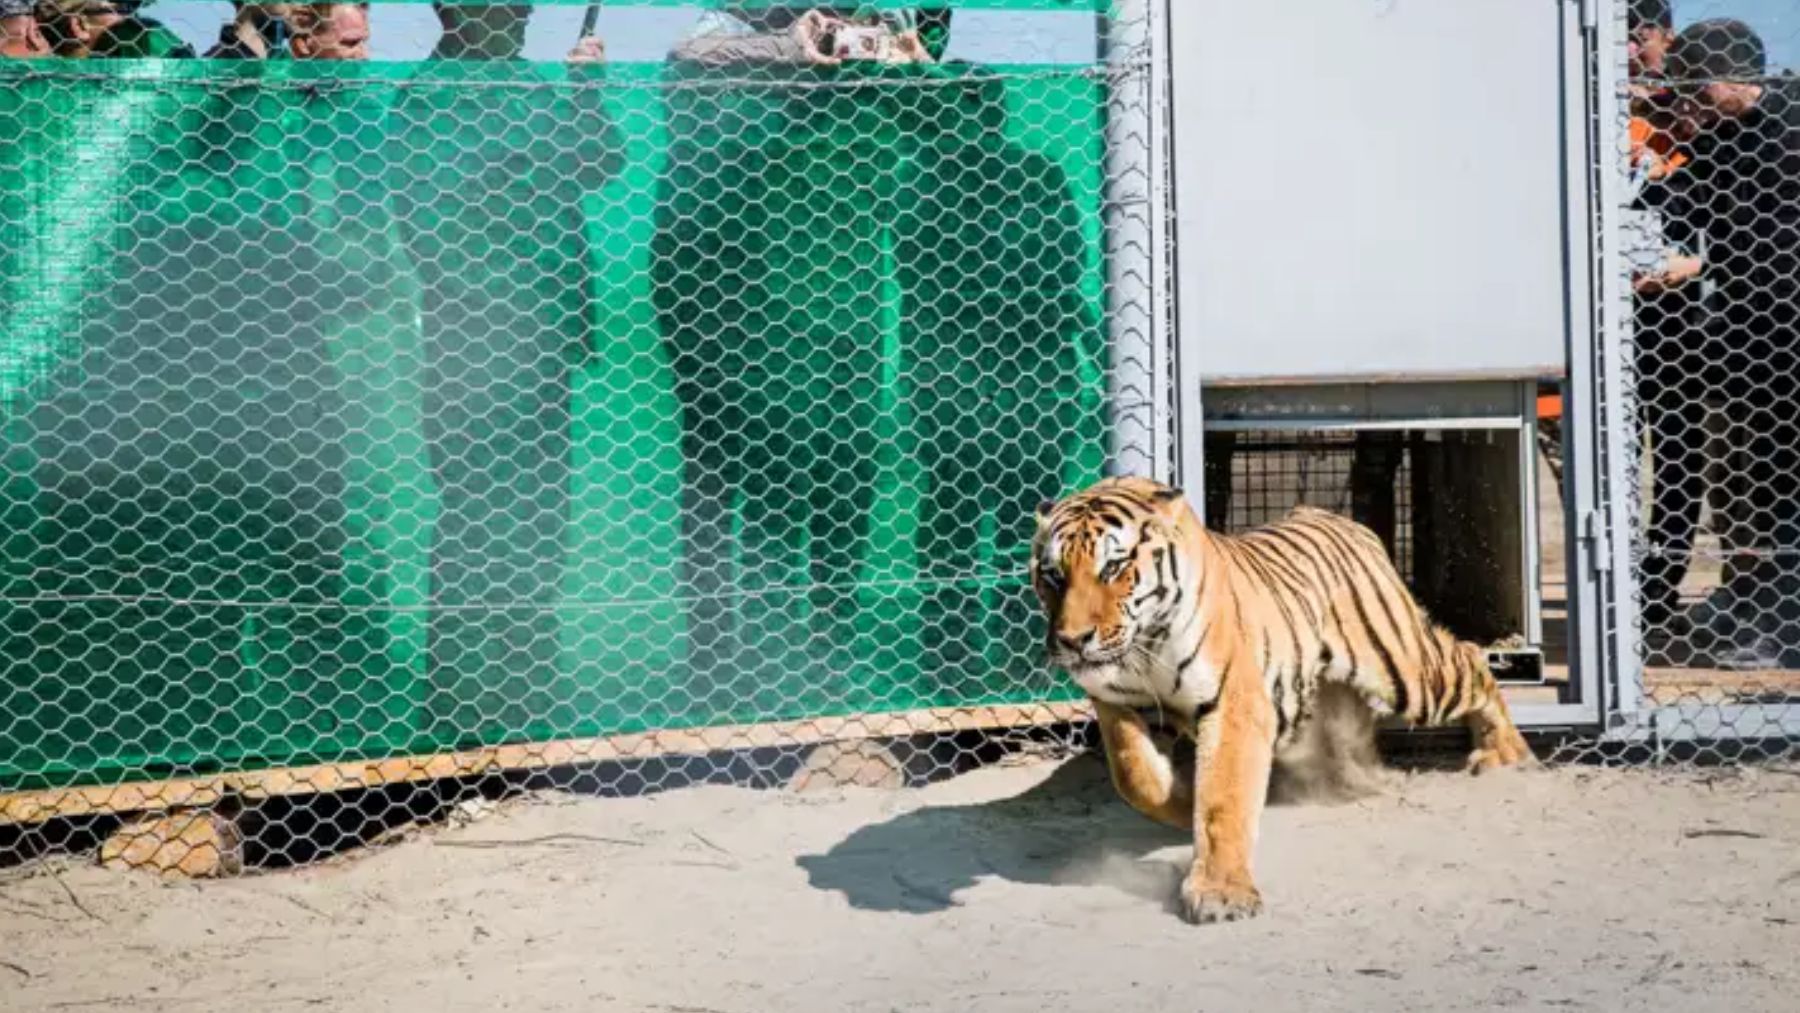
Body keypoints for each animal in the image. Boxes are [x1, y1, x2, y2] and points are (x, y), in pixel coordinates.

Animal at [1036, 475, 1526, 928]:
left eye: (1113, 567)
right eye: (1054, 574)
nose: (1073, 640)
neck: (1143, 647)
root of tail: (1330, 516)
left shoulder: (1235, 703)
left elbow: (1223, 799)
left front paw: (1220, 893)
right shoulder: (1119, 704)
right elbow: (1136, 777)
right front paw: (1181, 802)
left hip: (1406, 672)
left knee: (1471, 658)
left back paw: (1506, 754)